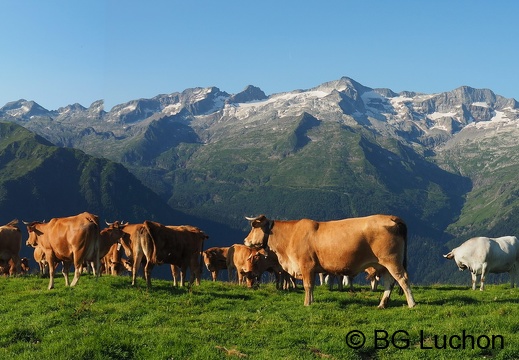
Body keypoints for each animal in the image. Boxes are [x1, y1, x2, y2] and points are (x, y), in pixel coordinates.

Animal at [245, 214, 418, 310]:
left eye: (254, 227)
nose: (245, 240)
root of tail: (392, 217)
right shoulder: (312, 269)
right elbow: (312, 286)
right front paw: (312, 301)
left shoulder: (306, 265)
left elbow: (308, 285)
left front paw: (307, 303)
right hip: (382, 265)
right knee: (389, 282)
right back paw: (382, 304)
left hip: (392, 261)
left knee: (403, 279)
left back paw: (412, 304)